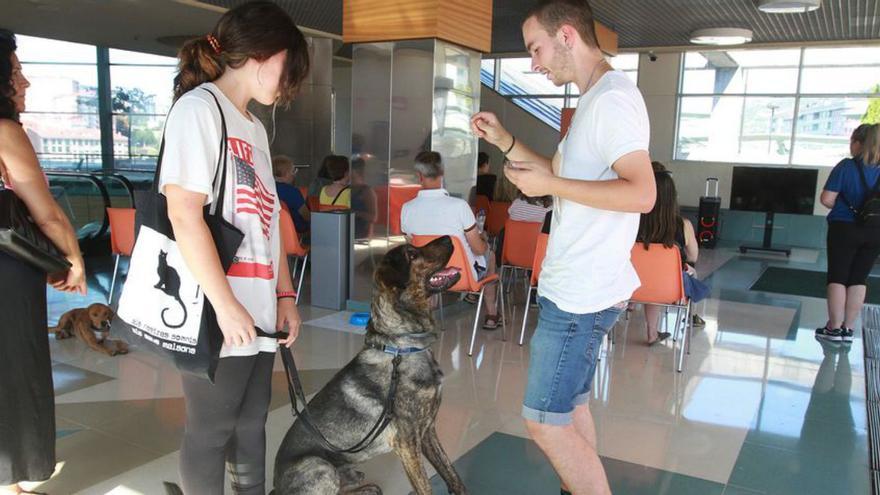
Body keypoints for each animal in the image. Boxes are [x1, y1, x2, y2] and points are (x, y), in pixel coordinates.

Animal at [276, 236, 468, 495]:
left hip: (349, 470)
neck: (404, 346)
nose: (449, 238)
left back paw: (368, 489)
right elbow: (425, 486)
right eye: (411, 254)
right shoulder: (407, 442)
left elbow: (452, 474)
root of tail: (275, 487)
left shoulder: (428, 431)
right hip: (321, 467)